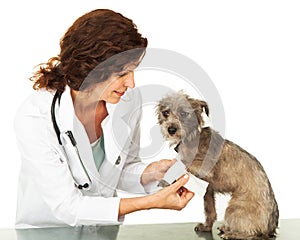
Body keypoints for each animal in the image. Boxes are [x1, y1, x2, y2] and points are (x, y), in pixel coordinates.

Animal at [156, 91, 280, 239]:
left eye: (184, 113)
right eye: (165, 113)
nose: (171, 129)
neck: (192, 138)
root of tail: (271, 228)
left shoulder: (204, 170)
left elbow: (183, 164)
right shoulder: (208, 191)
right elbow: (210, 211)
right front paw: (206, 227)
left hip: (234, 208)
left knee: (253, 234)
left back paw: (231, 234)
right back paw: (226, 228)